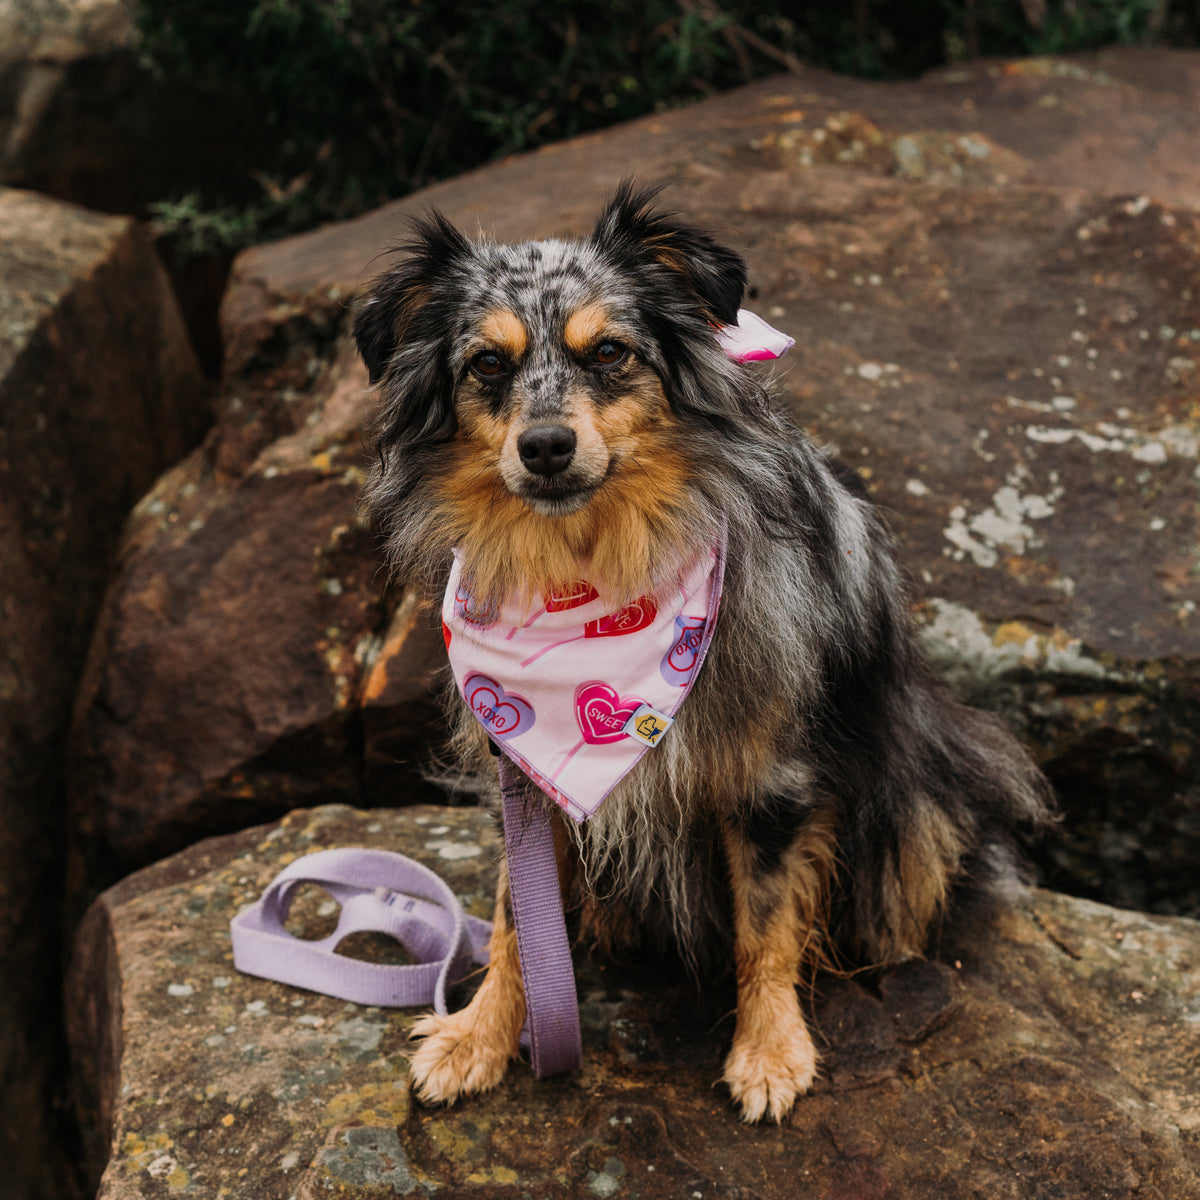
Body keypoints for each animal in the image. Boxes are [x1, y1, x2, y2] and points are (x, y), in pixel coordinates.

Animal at [350, 182, 1056, 1118]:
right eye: (487, 365)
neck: (592, 569)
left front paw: (770, 1050)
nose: (545, 448)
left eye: (610, 352)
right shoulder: (521, 771)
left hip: (920, 793)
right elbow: (513, 917)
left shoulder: (770, 773)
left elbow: (766, 921)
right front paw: (478, 1036)